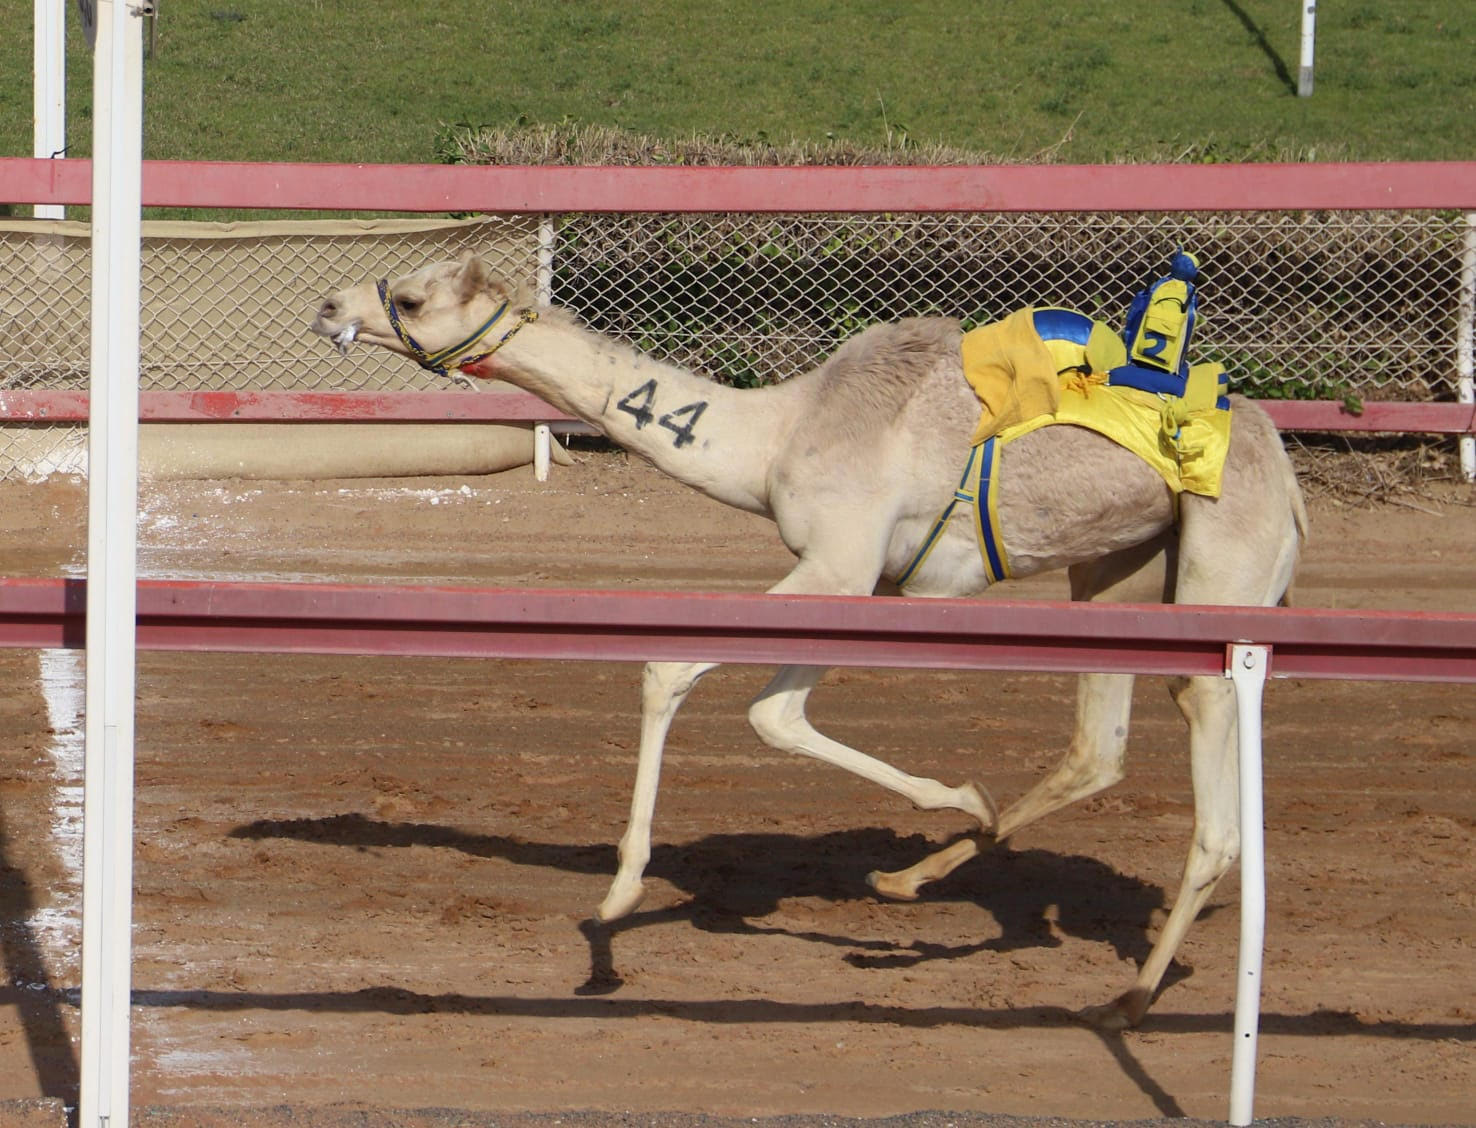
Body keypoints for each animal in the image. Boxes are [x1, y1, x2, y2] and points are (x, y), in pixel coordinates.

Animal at [308, 255, 1304, 1033]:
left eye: (414, 298)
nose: (329, 305)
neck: (777, 432)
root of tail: (1291, 485)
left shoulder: (838, 559)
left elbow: (675, 669)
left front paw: (617, 899)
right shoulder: (863, 575)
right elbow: (777, 714)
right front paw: (959, 798)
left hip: (1225, 559)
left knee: (1212, 787)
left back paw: (1127, 998)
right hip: (1118, 561)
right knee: (1101, 745)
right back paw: (918, 879)